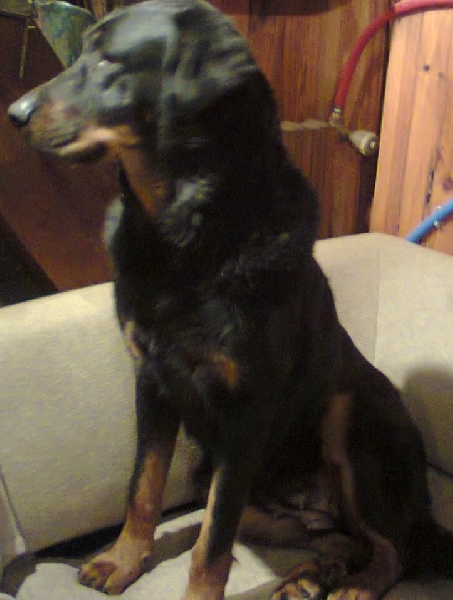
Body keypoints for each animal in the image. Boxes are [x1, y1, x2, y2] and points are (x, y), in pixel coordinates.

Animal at [8, 1, 453, 598]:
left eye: (108, 60)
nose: (14, 112)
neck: (179, 231)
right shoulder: (152, 383)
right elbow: (143, 488)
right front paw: (123, 560)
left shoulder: (246, 411)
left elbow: (211, 542)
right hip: (228, 481)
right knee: (327, 535)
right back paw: (312, 575)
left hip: (349, 417)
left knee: (394, 548)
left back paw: (357, 584)